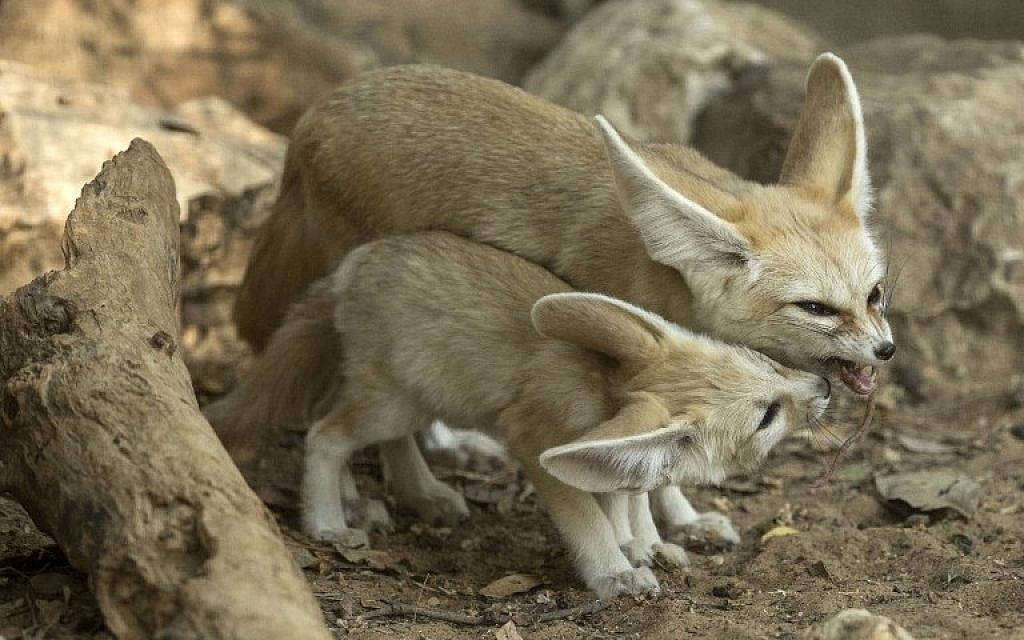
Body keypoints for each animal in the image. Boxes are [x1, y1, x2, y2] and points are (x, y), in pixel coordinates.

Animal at [209, 52, 893, 544]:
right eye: (815, 309)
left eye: (875, 295)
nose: (886, 351)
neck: (659, 269)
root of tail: (314, 115)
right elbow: (639, 468)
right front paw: (644, 542)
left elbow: (664, 463)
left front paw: (684, 520)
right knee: (355, 410)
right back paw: (395, 493)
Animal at [286, 232, 831, 598]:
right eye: (767, 417)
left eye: (763, 362)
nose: (824, 387)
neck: (602, 392)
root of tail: (355, 262)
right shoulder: (535, 442)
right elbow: (590, 516)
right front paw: (615, 569)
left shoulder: (610, 454)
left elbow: (628, 492)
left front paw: (642, 544)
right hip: (390, 405)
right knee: (324, 432)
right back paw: (329, 522)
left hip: (413, 400)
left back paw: (417, 495)